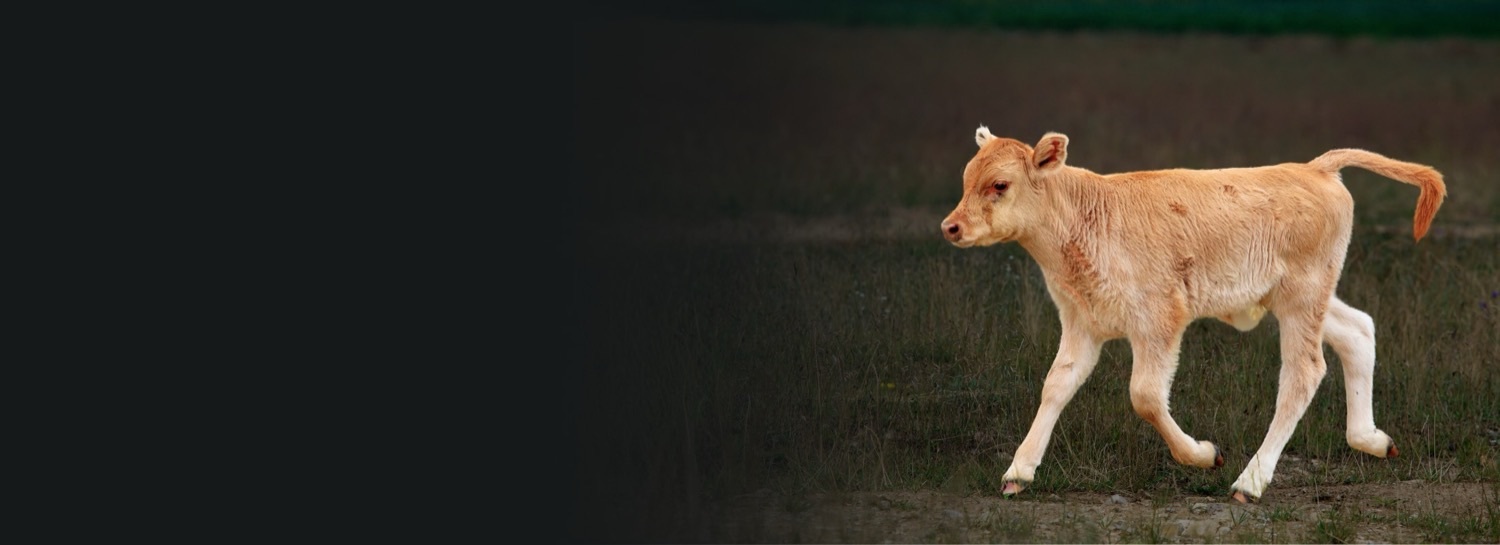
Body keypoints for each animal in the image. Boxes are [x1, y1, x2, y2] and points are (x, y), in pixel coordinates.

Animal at [940, 126, 1445, 503]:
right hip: (1299, 300)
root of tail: (1315, 168)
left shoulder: (1158, 321)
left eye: (1000, 184)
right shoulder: (1082, 324)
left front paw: (1205, 454)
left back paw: (1250, 482)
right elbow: (1057, 385)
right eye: (966, 179)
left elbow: (1145, 396)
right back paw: (1373, 440)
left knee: (1304, 371)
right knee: (1357, 331)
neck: (1085, 216)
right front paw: (1018, 472)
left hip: (1303, 300)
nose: (951, 227)